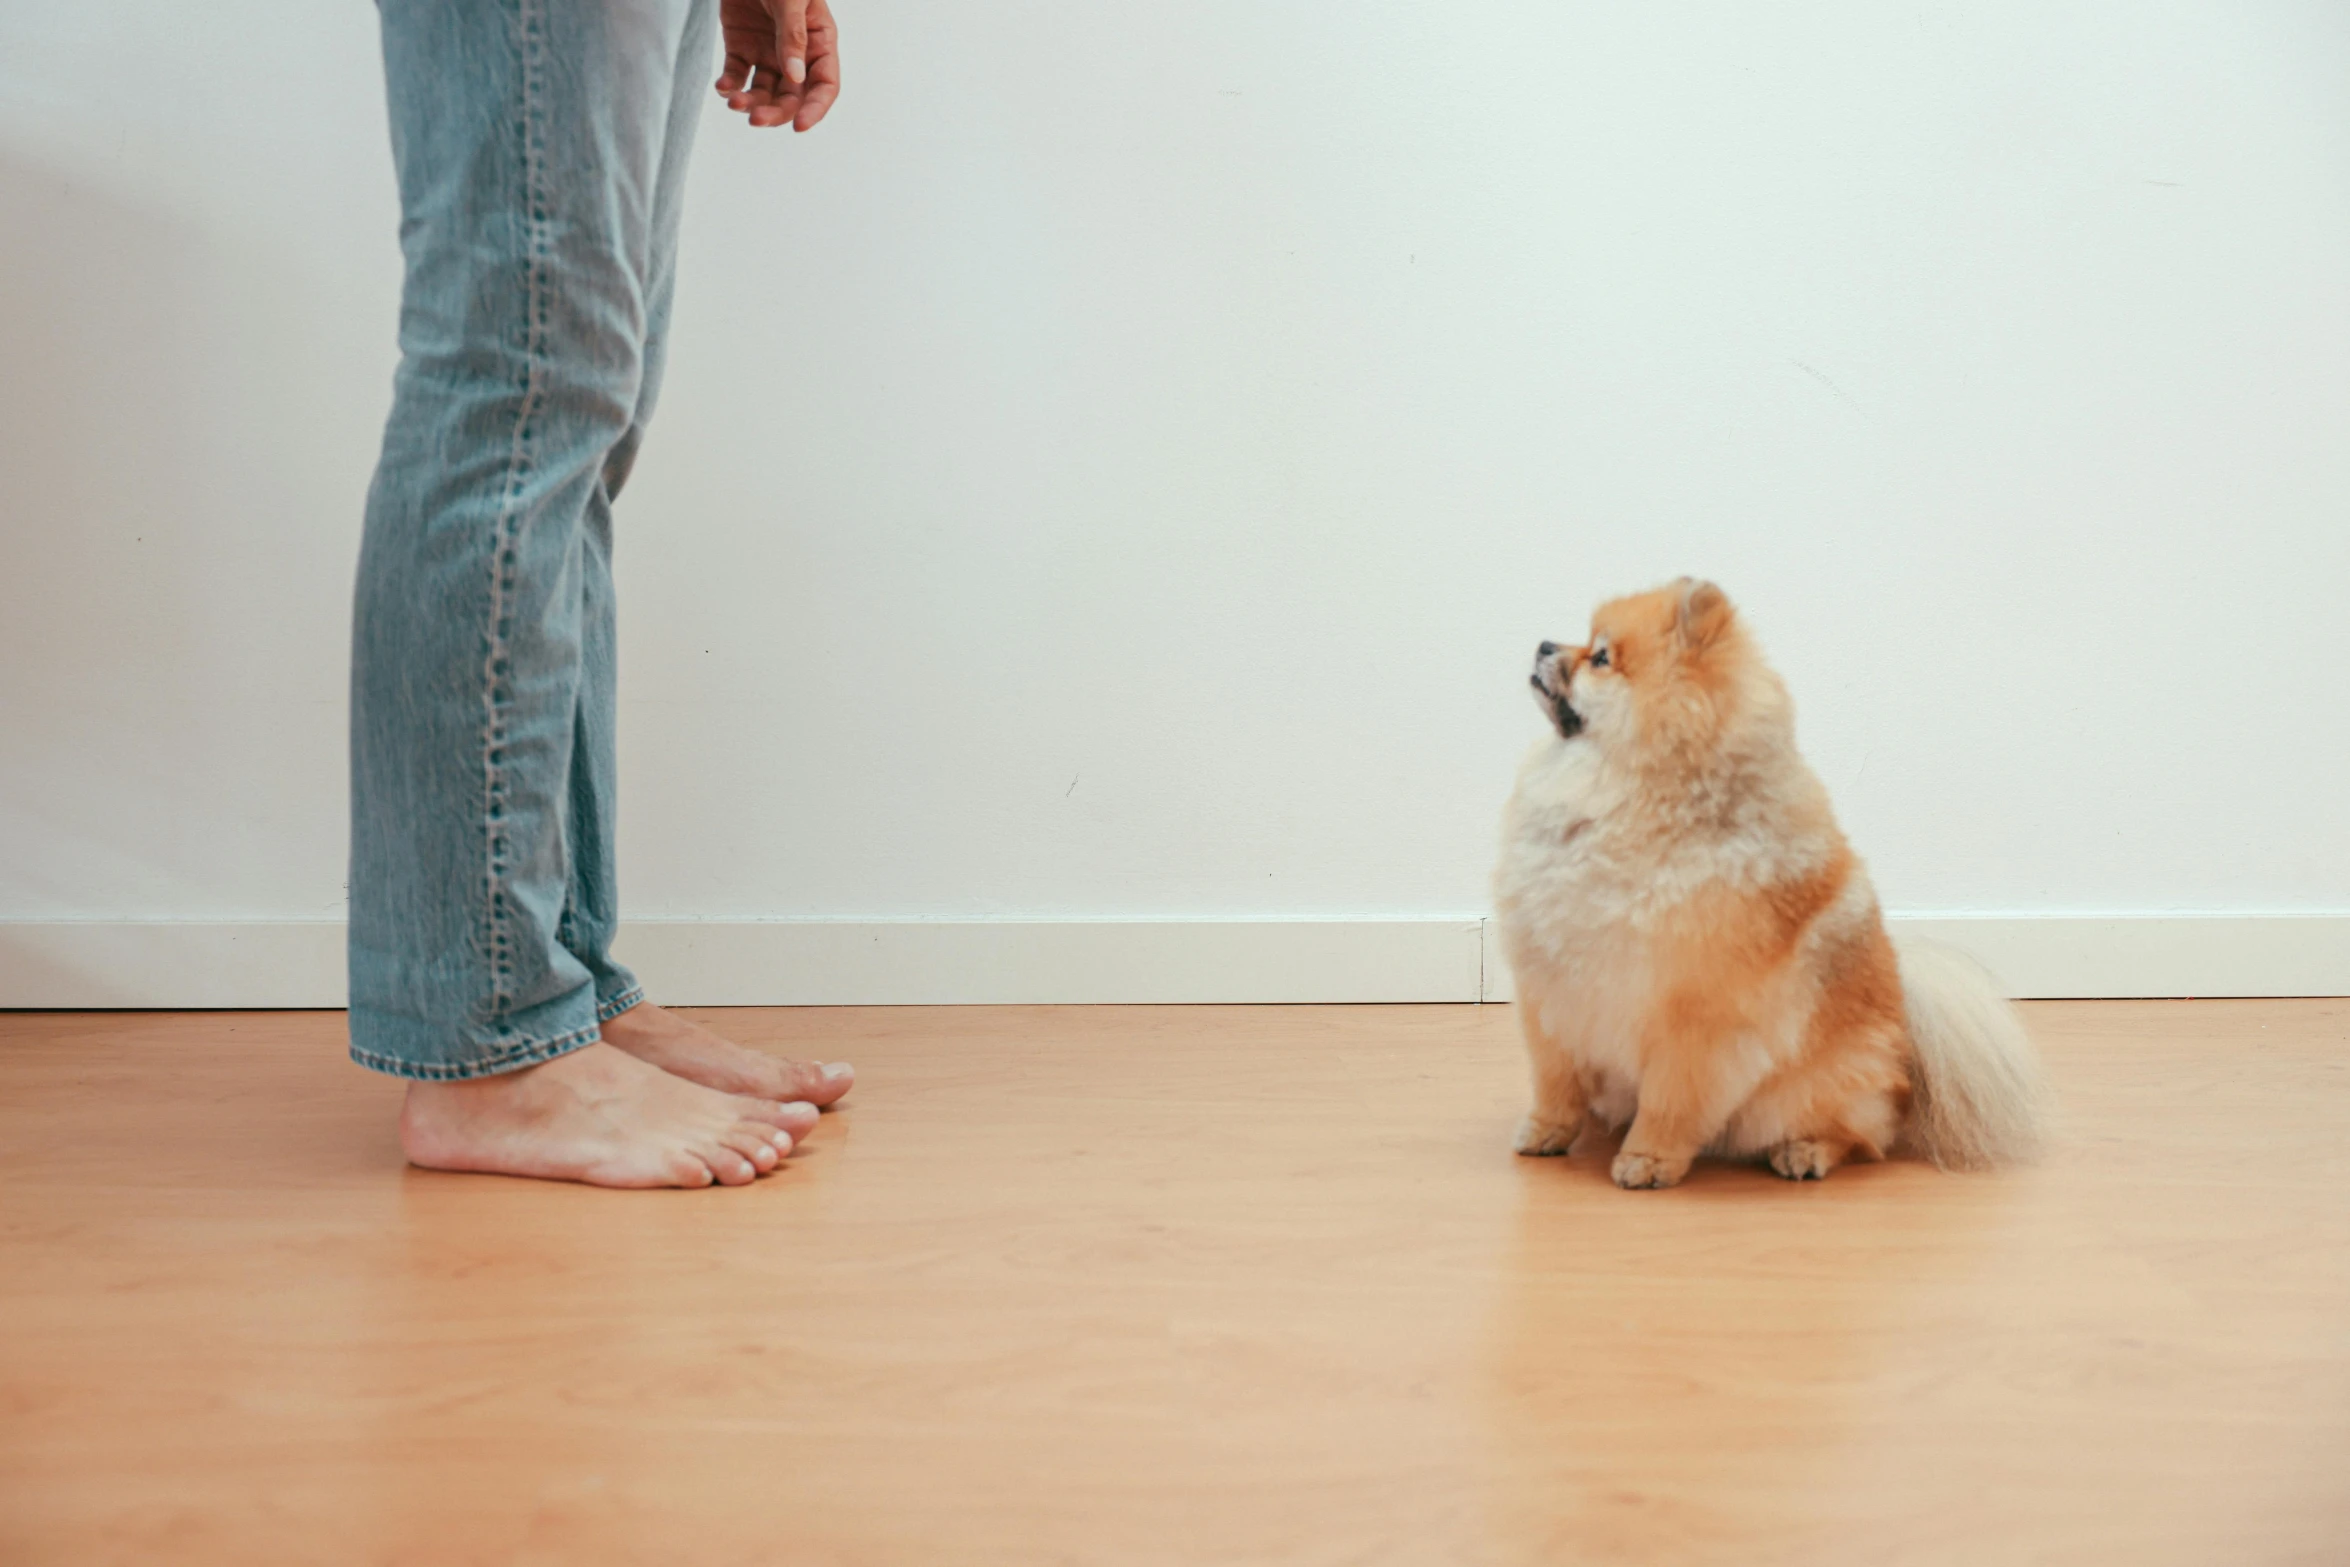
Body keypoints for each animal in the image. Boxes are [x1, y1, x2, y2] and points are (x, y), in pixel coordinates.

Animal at [1504, 580, 2039, 1188]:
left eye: (1599, 658)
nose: (1545, 644)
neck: (1631, 797)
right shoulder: (1553, 990)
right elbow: (1556, 1082)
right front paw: (1546, 1132)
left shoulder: (1697, 1018)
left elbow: (1669, 1100)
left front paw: (1648, 1158)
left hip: (1816, 1088)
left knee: (1864, 1139)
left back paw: (1805, 1151)